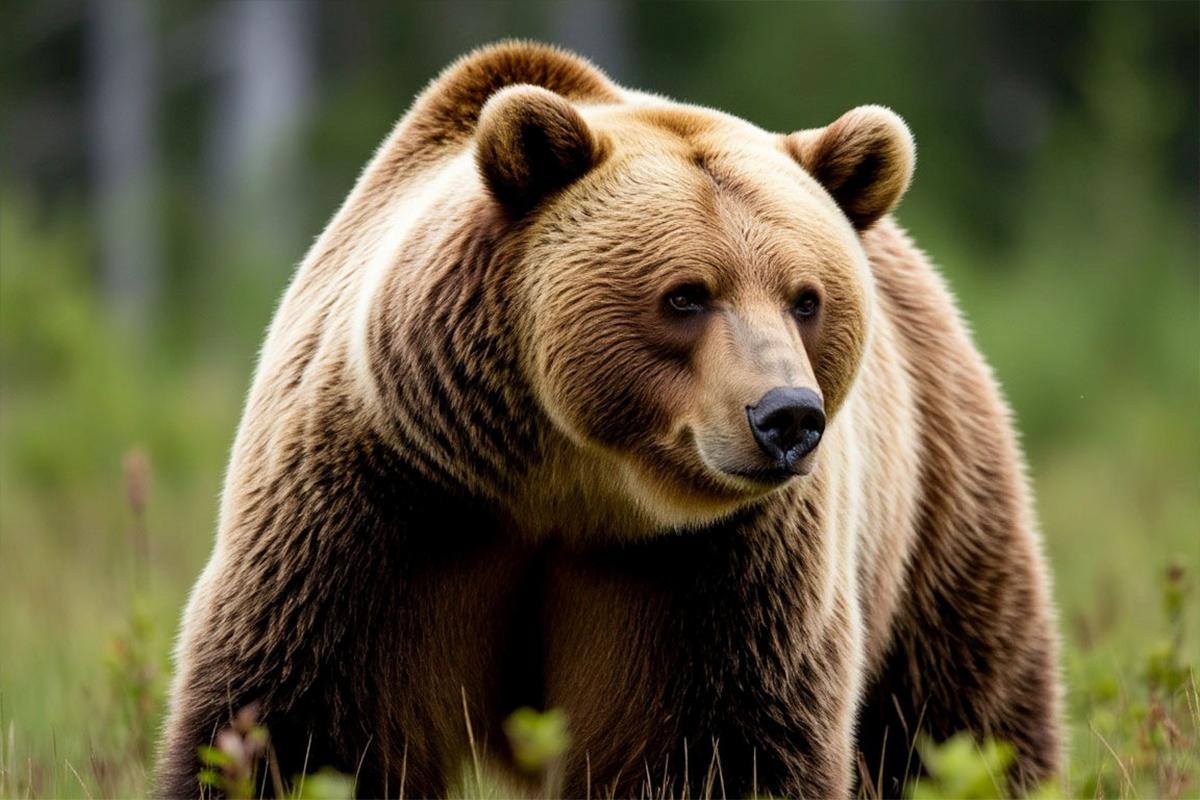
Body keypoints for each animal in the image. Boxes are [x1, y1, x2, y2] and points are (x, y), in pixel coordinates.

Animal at [156, 41, 1062, 798]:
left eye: (806, 298)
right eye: (686, 295)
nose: (787, 418)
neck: (568, 479)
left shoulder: (720, 566)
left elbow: (719, 745)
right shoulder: (385, 503)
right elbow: (298, 722)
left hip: (938, 506)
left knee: (961, 712)